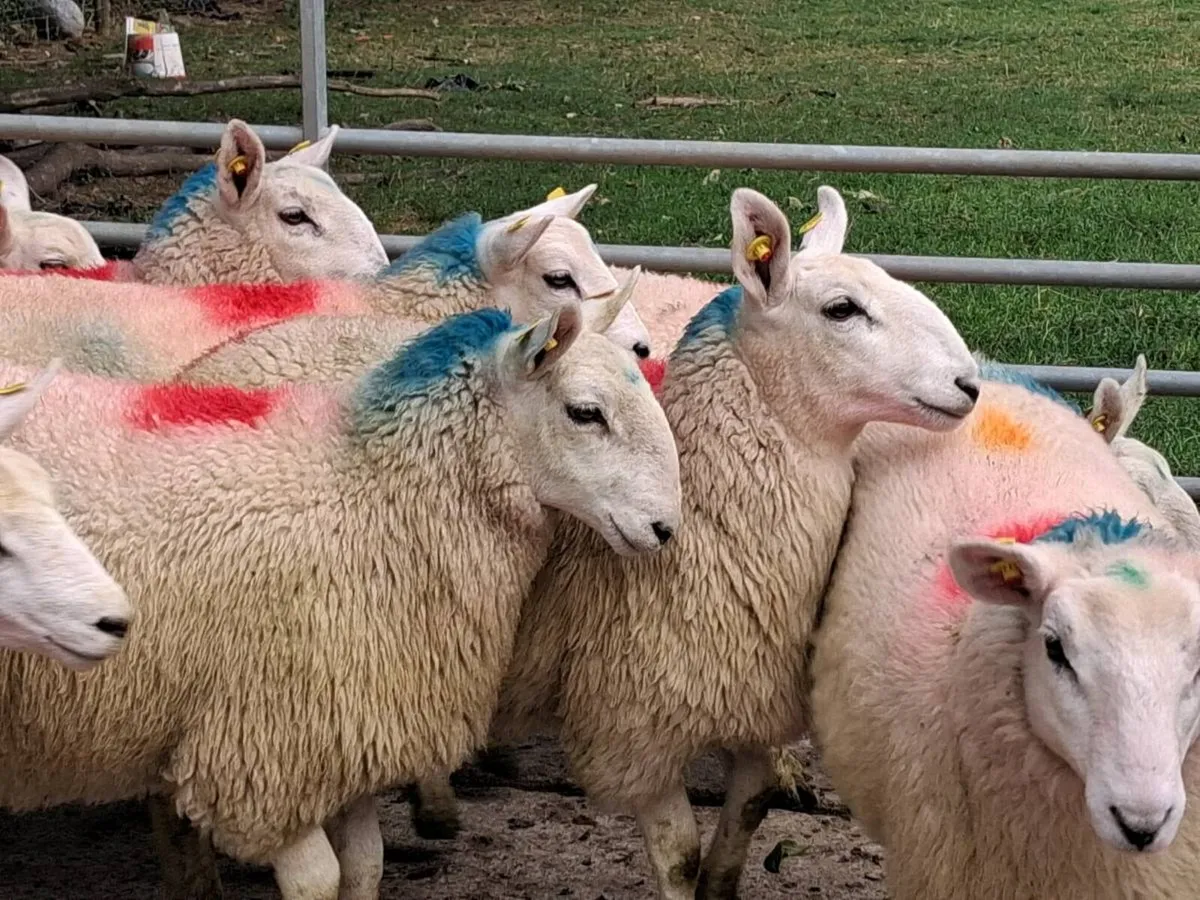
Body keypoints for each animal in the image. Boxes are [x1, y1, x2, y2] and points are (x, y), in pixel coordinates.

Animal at [456, 184, 981, 900]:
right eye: (841, 309)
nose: (970, 385)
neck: (709, 529)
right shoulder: (632, 729)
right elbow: (679, 855)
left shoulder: (756, 707)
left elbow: (746, 820)